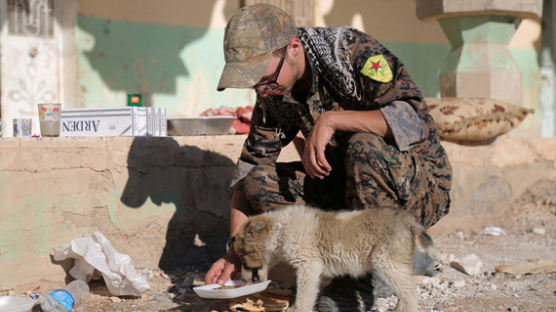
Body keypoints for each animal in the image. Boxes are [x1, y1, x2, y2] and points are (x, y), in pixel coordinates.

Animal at [230, 205, 434, 312]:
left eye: (242, 256)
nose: (243, 280)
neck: (281, 228)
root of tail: (404, 218)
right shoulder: (319, 272)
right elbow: (310, 292)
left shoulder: (308, 267)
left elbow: (304, 294)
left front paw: (298, 309)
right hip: (397, 266)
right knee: (405, 292)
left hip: (387, 264)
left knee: (411, 294)